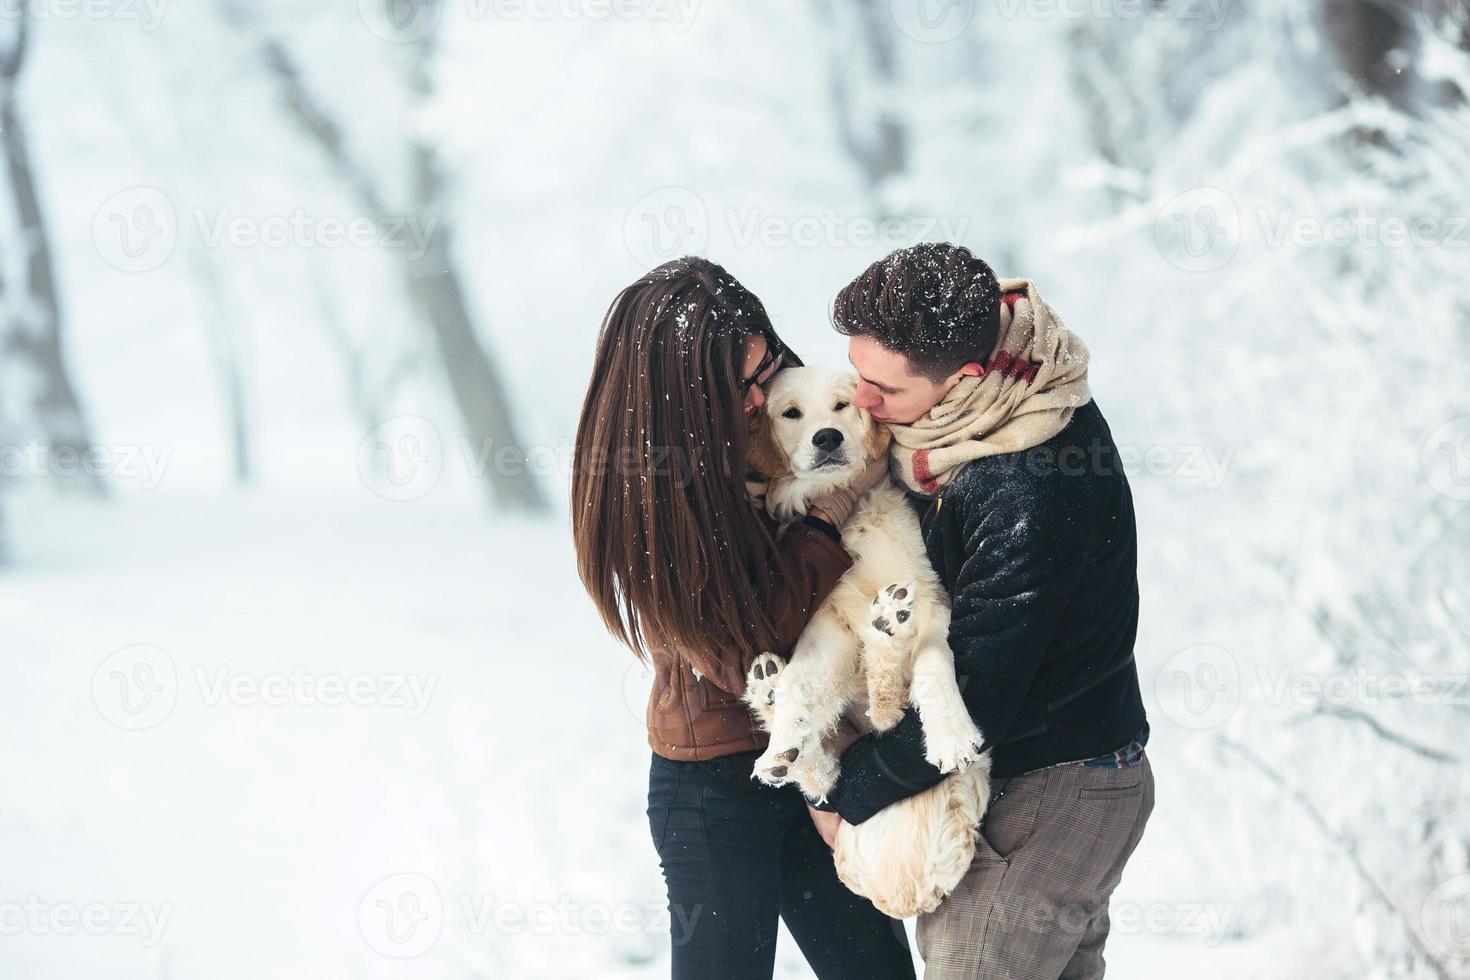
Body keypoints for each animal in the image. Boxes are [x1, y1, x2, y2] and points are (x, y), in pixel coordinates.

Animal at [740, 365, 993, 922]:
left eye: (842, 405)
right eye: (791, 413)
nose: (827, 438)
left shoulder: (934, 597)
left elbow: (934, 667)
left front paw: (950, 734)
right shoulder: (826, 622)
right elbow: (802, 687)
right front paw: (782, 738)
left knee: (889, 712)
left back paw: (887, 626)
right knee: (828, 767)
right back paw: (773, 707)